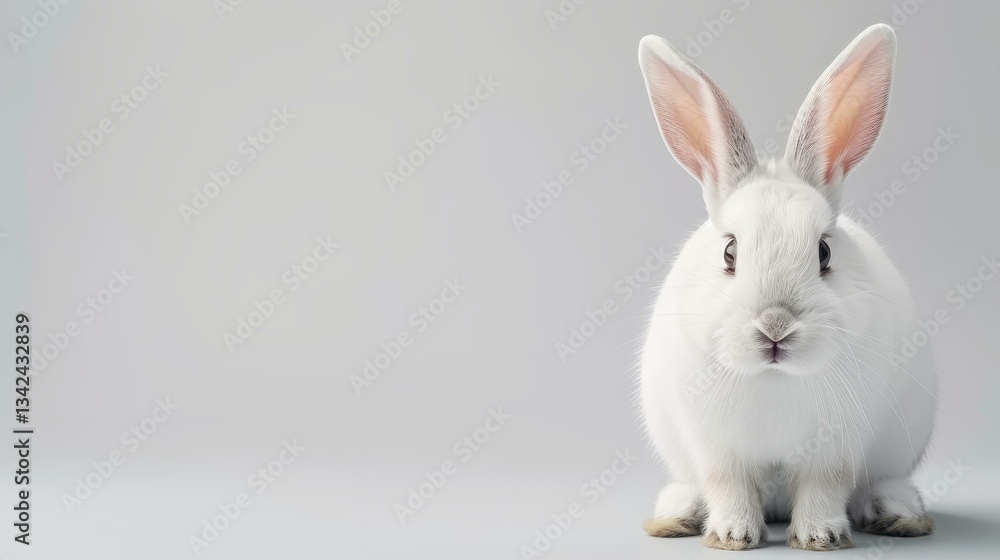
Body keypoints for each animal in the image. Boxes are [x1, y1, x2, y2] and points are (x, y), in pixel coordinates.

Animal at [635, 24, 938, 551]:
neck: (773, 380)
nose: (775, 327)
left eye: (824, 253)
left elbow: (825, 487)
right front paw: (733, 535)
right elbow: (728, 486)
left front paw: (821, 536)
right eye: (729, 252)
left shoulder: (836, 447)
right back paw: (677, 515)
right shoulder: (715, 447)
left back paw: (897, 513)